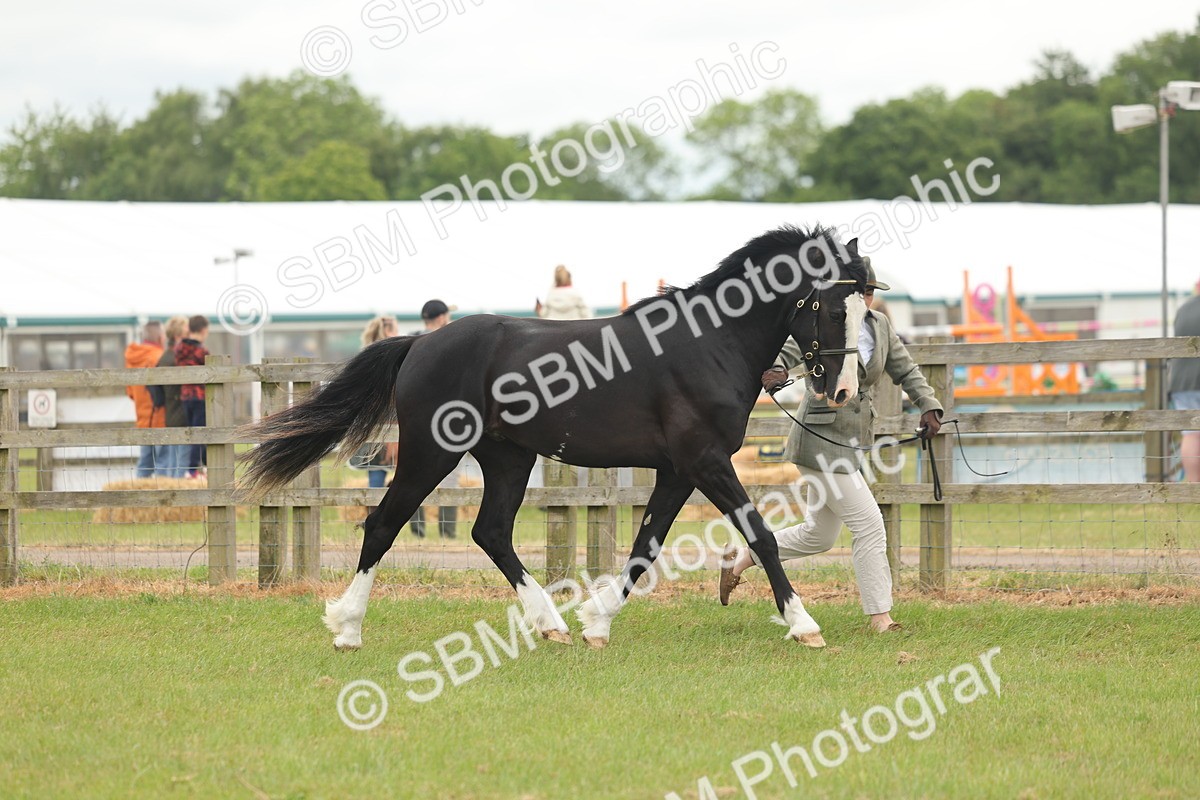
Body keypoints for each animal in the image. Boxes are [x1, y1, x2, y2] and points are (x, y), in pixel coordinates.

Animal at [239, 225, 868, 650]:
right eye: (836, 309)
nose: (842, 390)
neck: (710, 343)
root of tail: (421, 342)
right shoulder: (706, 462)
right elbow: (760, 536)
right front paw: (805, 625)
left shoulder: (677, 471)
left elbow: (644, 547)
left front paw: (596, 623)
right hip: (431, 453)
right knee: (383, 524)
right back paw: (347, 628)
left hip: (508, 459)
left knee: (491, 532)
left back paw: (552, 624)